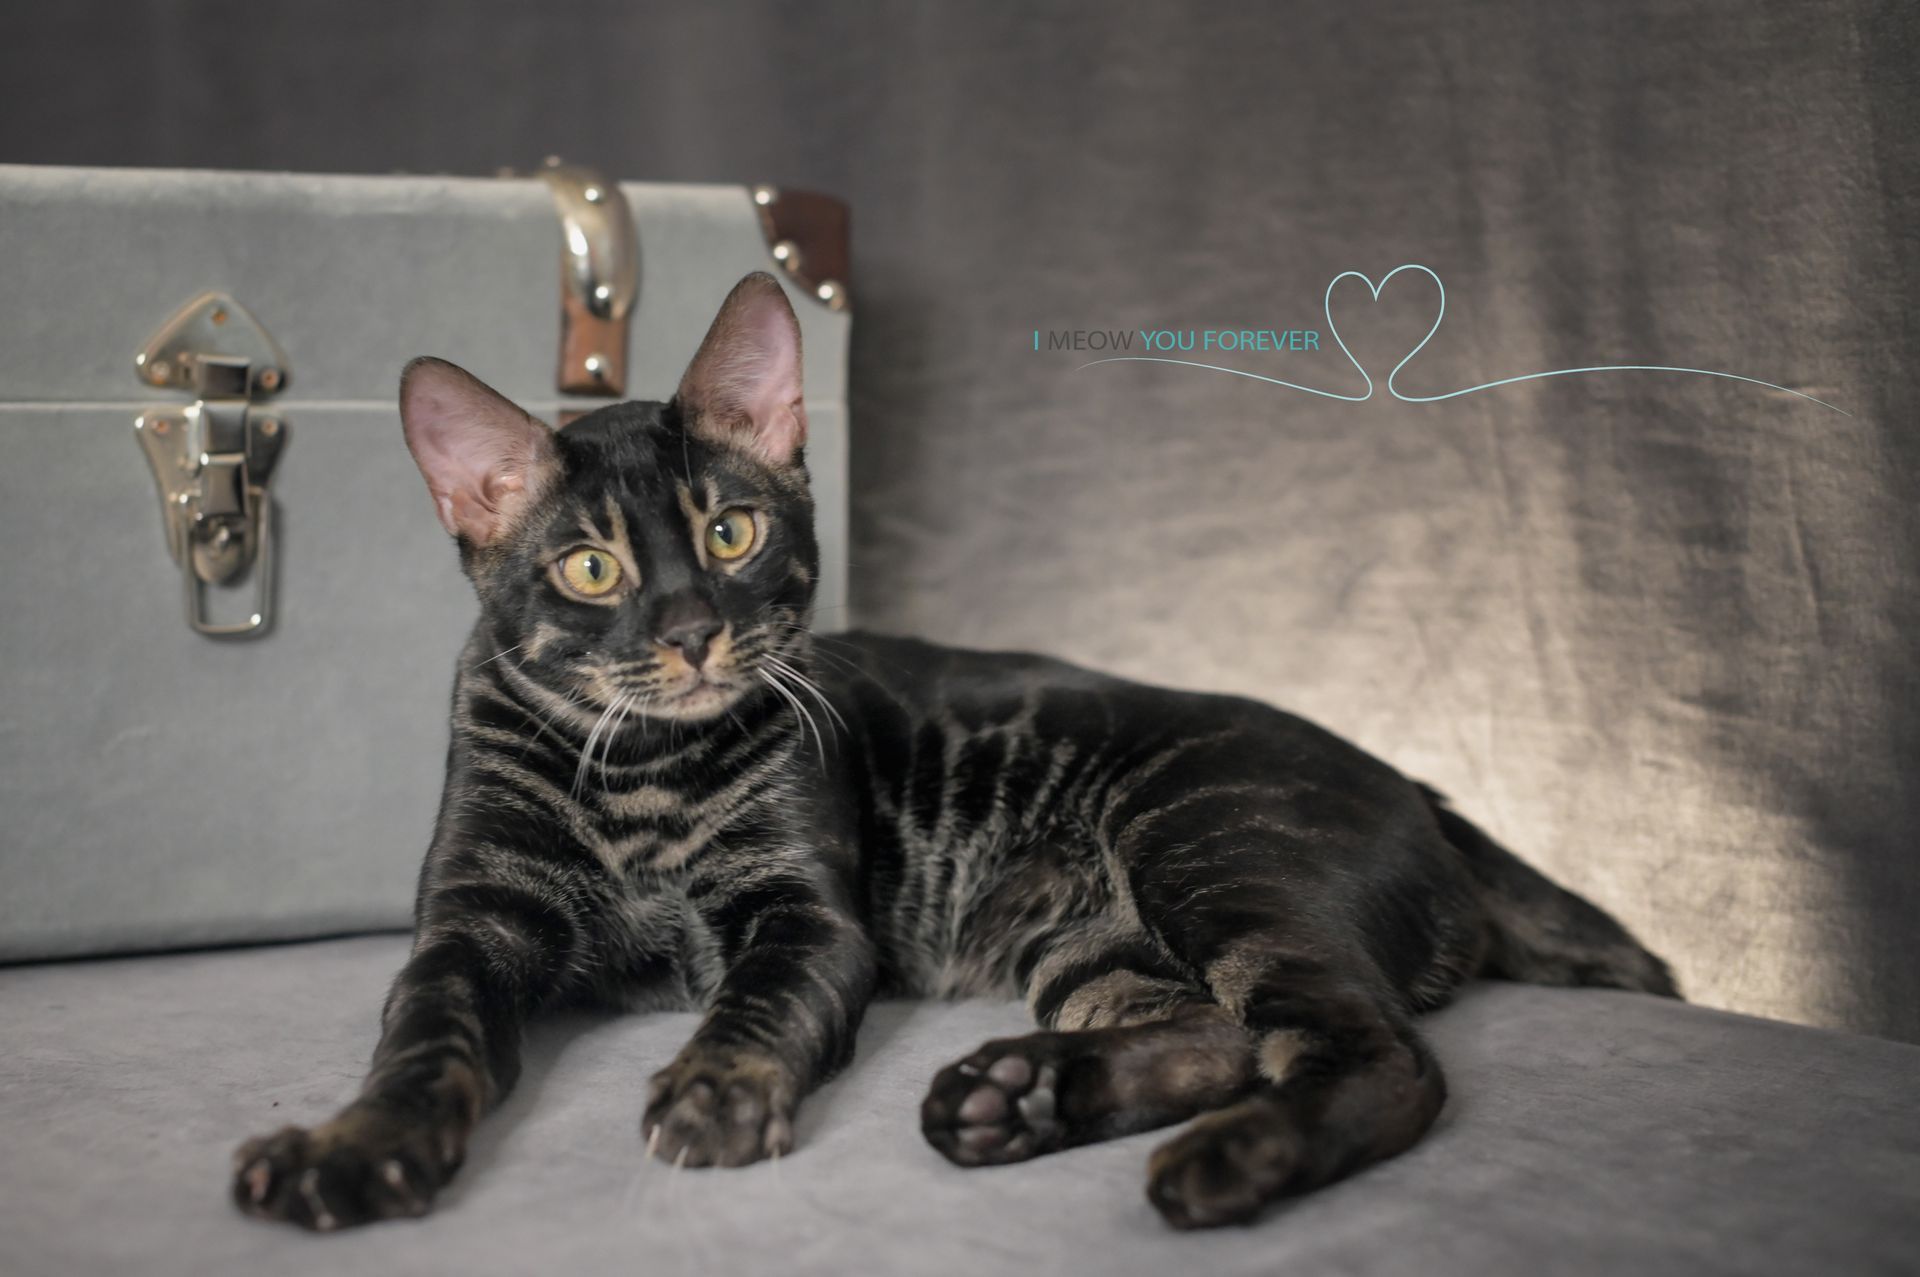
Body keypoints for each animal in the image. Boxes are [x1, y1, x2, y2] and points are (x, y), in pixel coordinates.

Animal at [232, 274, 1674, 1228]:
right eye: (591, 567)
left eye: (732, 533)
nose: (693, 633)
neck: (642, 783)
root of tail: (1416, 783)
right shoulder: (470, 929)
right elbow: (423, 1044)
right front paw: (350, 1148)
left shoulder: (808, 918)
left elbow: (753, 1006)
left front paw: (713, 1090)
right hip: (1092, 938)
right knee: (1220, 1034)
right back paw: (1019, 1097)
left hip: (1209, 845)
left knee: (1374, 1054)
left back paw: (1224, 1164)